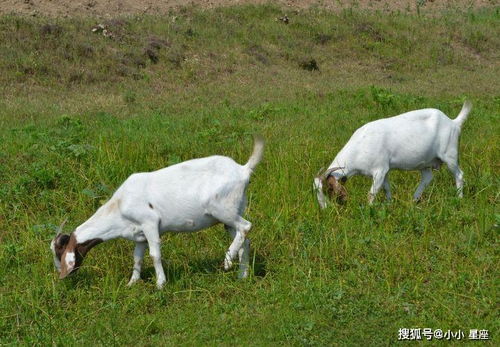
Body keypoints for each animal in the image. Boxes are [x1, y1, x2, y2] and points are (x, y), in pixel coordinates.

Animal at [49, 135, 266, 290]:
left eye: (59, 251)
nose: (60, 274)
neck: (118, 207)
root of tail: (243, 169)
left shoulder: (150, 223)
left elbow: (155, 254)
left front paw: (160, 284)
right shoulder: (139, 235)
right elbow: (137, 257)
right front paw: (132, 283)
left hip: (221, 209)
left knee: (246, 226)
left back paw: (228, 260)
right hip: (233, 212)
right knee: (245, 240)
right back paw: (242, 275)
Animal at [314, 102, 470, 208]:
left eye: (328, 189)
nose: (324, 209)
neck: (360, 147)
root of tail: (453, 122)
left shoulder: (379, 170)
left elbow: (372, 193)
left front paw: (369, 209)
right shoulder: (385, 171)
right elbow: (386, 188)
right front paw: (389, 204)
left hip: (449, 154)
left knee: (459, 174)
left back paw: (459, 199)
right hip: (425, 162)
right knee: (427, 178)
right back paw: (413, 200)